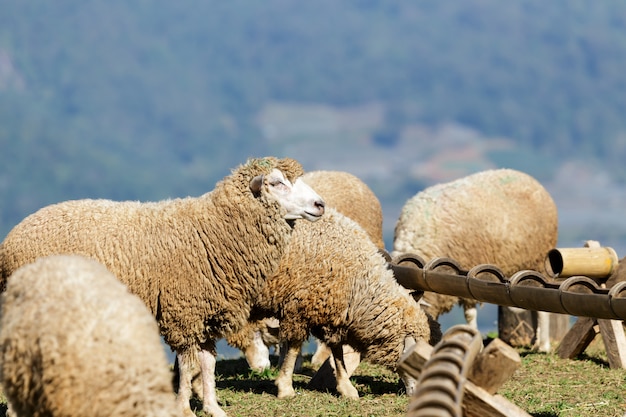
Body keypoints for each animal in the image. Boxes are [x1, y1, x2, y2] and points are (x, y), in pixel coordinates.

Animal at [390, 167, 556, 352]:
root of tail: (525, 176)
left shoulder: (467, 271)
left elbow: (470, 314)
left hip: (539, 260)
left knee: (542, 308)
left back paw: (543, 345)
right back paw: (535, 341)